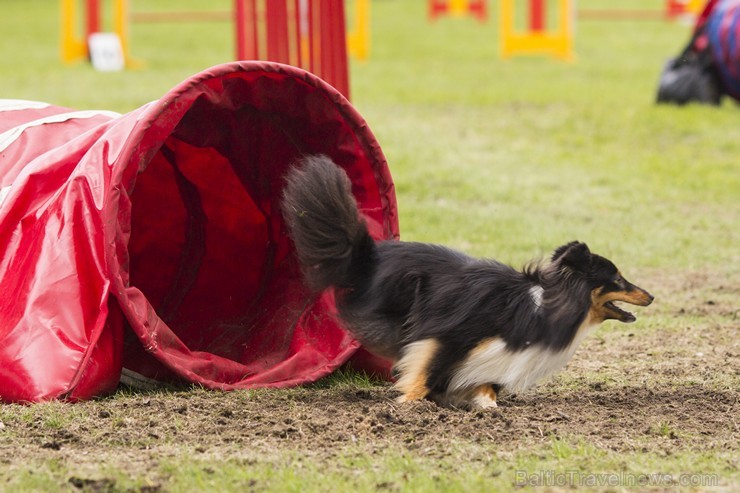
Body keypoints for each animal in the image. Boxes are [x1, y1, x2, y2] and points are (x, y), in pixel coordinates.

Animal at [282, 156, 652, 410]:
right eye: (617, 278)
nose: (651, 296)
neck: (544, 307)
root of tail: (368, 254)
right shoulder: (450, 336)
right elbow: (425, 373)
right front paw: (407, 405)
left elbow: (485, 386)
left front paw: (487, 407)